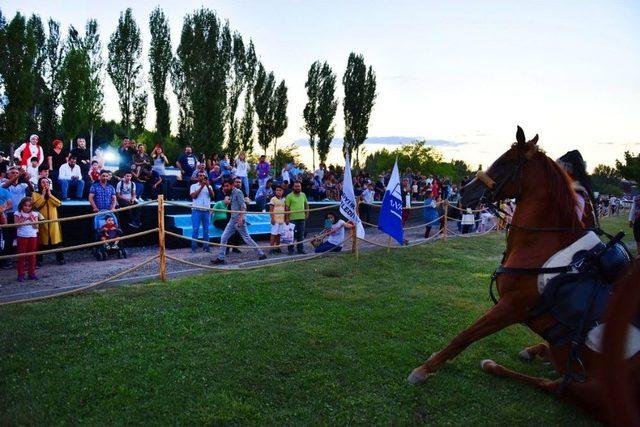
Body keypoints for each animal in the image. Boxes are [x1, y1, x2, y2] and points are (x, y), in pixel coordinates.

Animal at [408, 125, 636, 422]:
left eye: (505, 162)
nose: (463, 194)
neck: (543, 244)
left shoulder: (511, 307)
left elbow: (466, 335)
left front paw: (425, 369)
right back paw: (533, 352)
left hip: (592, 387)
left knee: (552, 386)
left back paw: (497, 364)